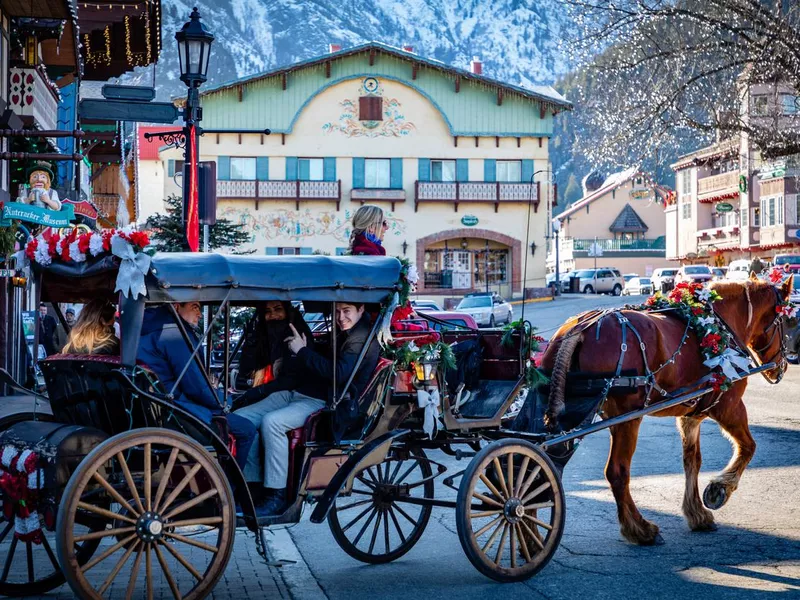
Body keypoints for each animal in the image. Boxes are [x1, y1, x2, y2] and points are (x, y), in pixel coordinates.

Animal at [536, 274, 788, 548]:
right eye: (786, 321)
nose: (783, 366)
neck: (721, 326)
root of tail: (580, 328)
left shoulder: (691, 416)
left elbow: (693, 461)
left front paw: (697, 513)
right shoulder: (729, 406)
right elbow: (748, 447)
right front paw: (719, 490)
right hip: (627, 418)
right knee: (617, 471)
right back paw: (639, 528)